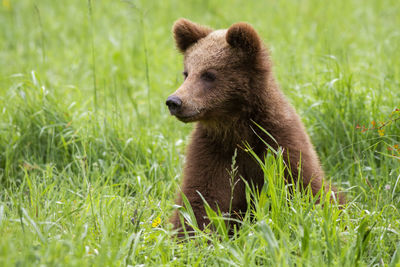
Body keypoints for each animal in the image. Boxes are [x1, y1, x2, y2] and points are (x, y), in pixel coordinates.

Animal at [166, 18, 344, 234]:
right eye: (186, 73)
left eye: (209, 74)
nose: (174, 101)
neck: (236, 129)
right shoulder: (213, 152)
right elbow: (200, 201)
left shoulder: (279, 143)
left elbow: (304, 190)